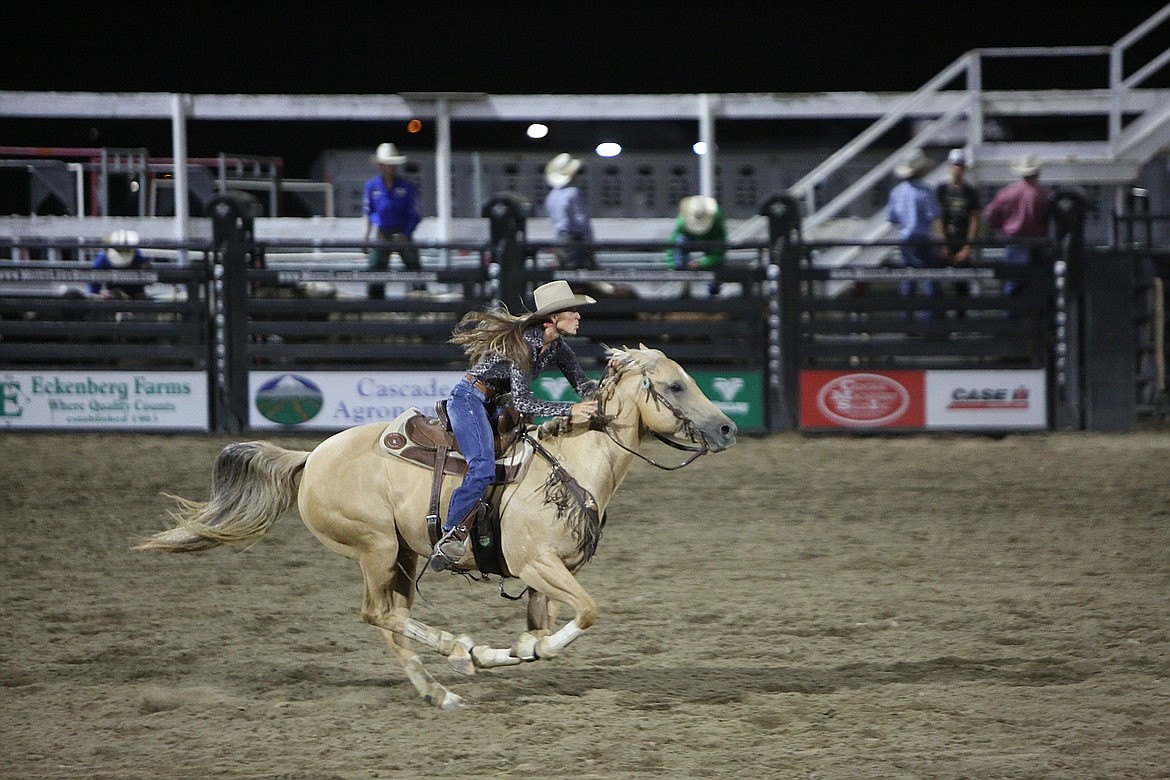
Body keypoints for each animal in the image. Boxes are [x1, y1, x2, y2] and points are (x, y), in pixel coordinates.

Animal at [136, 343, 734, 711]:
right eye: (675, 387)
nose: (727, 427)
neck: (572, 463)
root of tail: (310, 457)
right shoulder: (537, 563)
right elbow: (587, 611)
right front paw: (511, 652)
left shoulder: (542, 575)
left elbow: (539, 627)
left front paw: (510, 653)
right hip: (375, 547)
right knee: (379, 613)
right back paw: (455, 650)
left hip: (403, 555)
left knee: (391, 620)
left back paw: (441, 687)